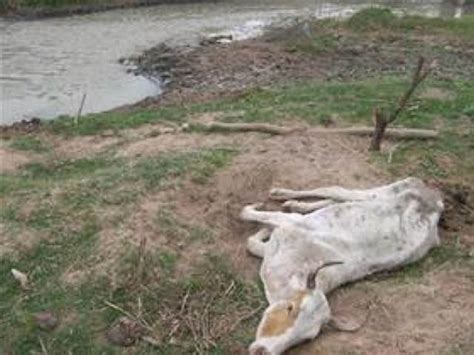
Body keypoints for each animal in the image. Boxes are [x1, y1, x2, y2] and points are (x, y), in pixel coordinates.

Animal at [241, 178, 444, 355]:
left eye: (307, 339)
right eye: (290, 308)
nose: (262, 351)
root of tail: (436, 203)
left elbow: (251, 242)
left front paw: (264, 229)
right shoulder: (290, 223)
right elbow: (246, 215)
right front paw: (260, 219)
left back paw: (295, 203)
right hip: (385, 191)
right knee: (336, 191)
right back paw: (283, 195)